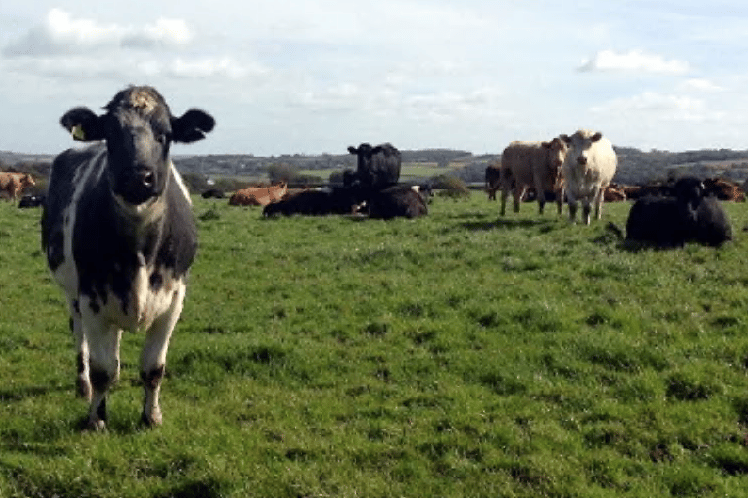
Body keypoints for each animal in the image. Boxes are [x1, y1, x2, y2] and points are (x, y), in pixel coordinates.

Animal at [41, 85, 215, 430]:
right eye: (111, 133)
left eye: (165, 134)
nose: (138, 177)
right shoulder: (92, 298)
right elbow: (101, 369)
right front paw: (96, 419)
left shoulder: (174, 300)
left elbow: (153, 368)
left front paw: (151, 417)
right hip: (72, 294)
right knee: (80, 337)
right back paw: (83, 385)